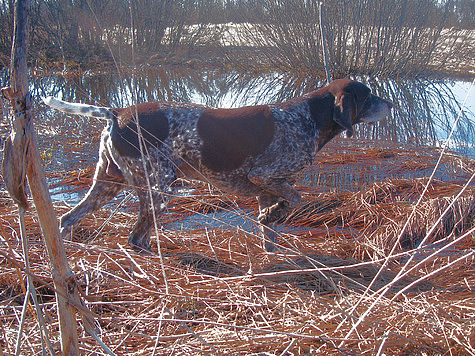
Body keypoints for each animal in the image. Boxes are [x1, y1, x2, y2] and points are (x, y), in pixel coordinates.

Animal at [44, 78, 392, 250]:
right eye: (369, 95)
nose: (390, 103)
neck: (309, 117)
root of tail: (117, 113)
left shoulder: (267, 188)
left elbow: (270, 231)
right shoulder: (266, 176)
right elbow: (296, 200)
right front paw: (275, 215)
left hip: (108, 183)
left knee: (67, 219)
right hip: (159, 189)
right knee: (135, 237)